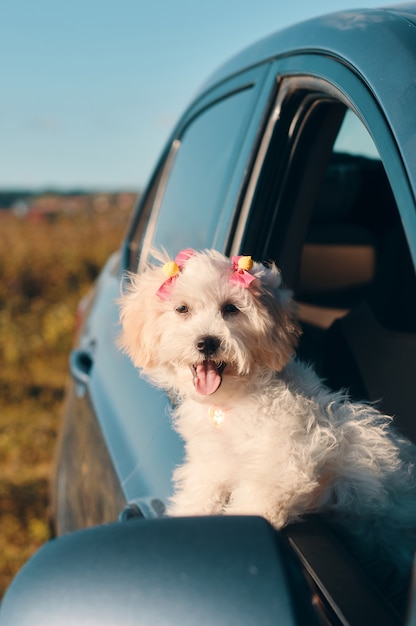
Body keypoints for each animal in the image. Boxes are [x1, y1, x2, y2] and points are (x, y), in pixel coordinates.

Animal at [119, 246, 416, 596]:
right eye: (182, 309)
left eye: (231, 308)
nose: (207, 342)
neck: (231, 402)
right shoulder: (209, 463)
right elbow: (197, 495)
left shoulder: (289, 462)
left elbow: (254, 502)